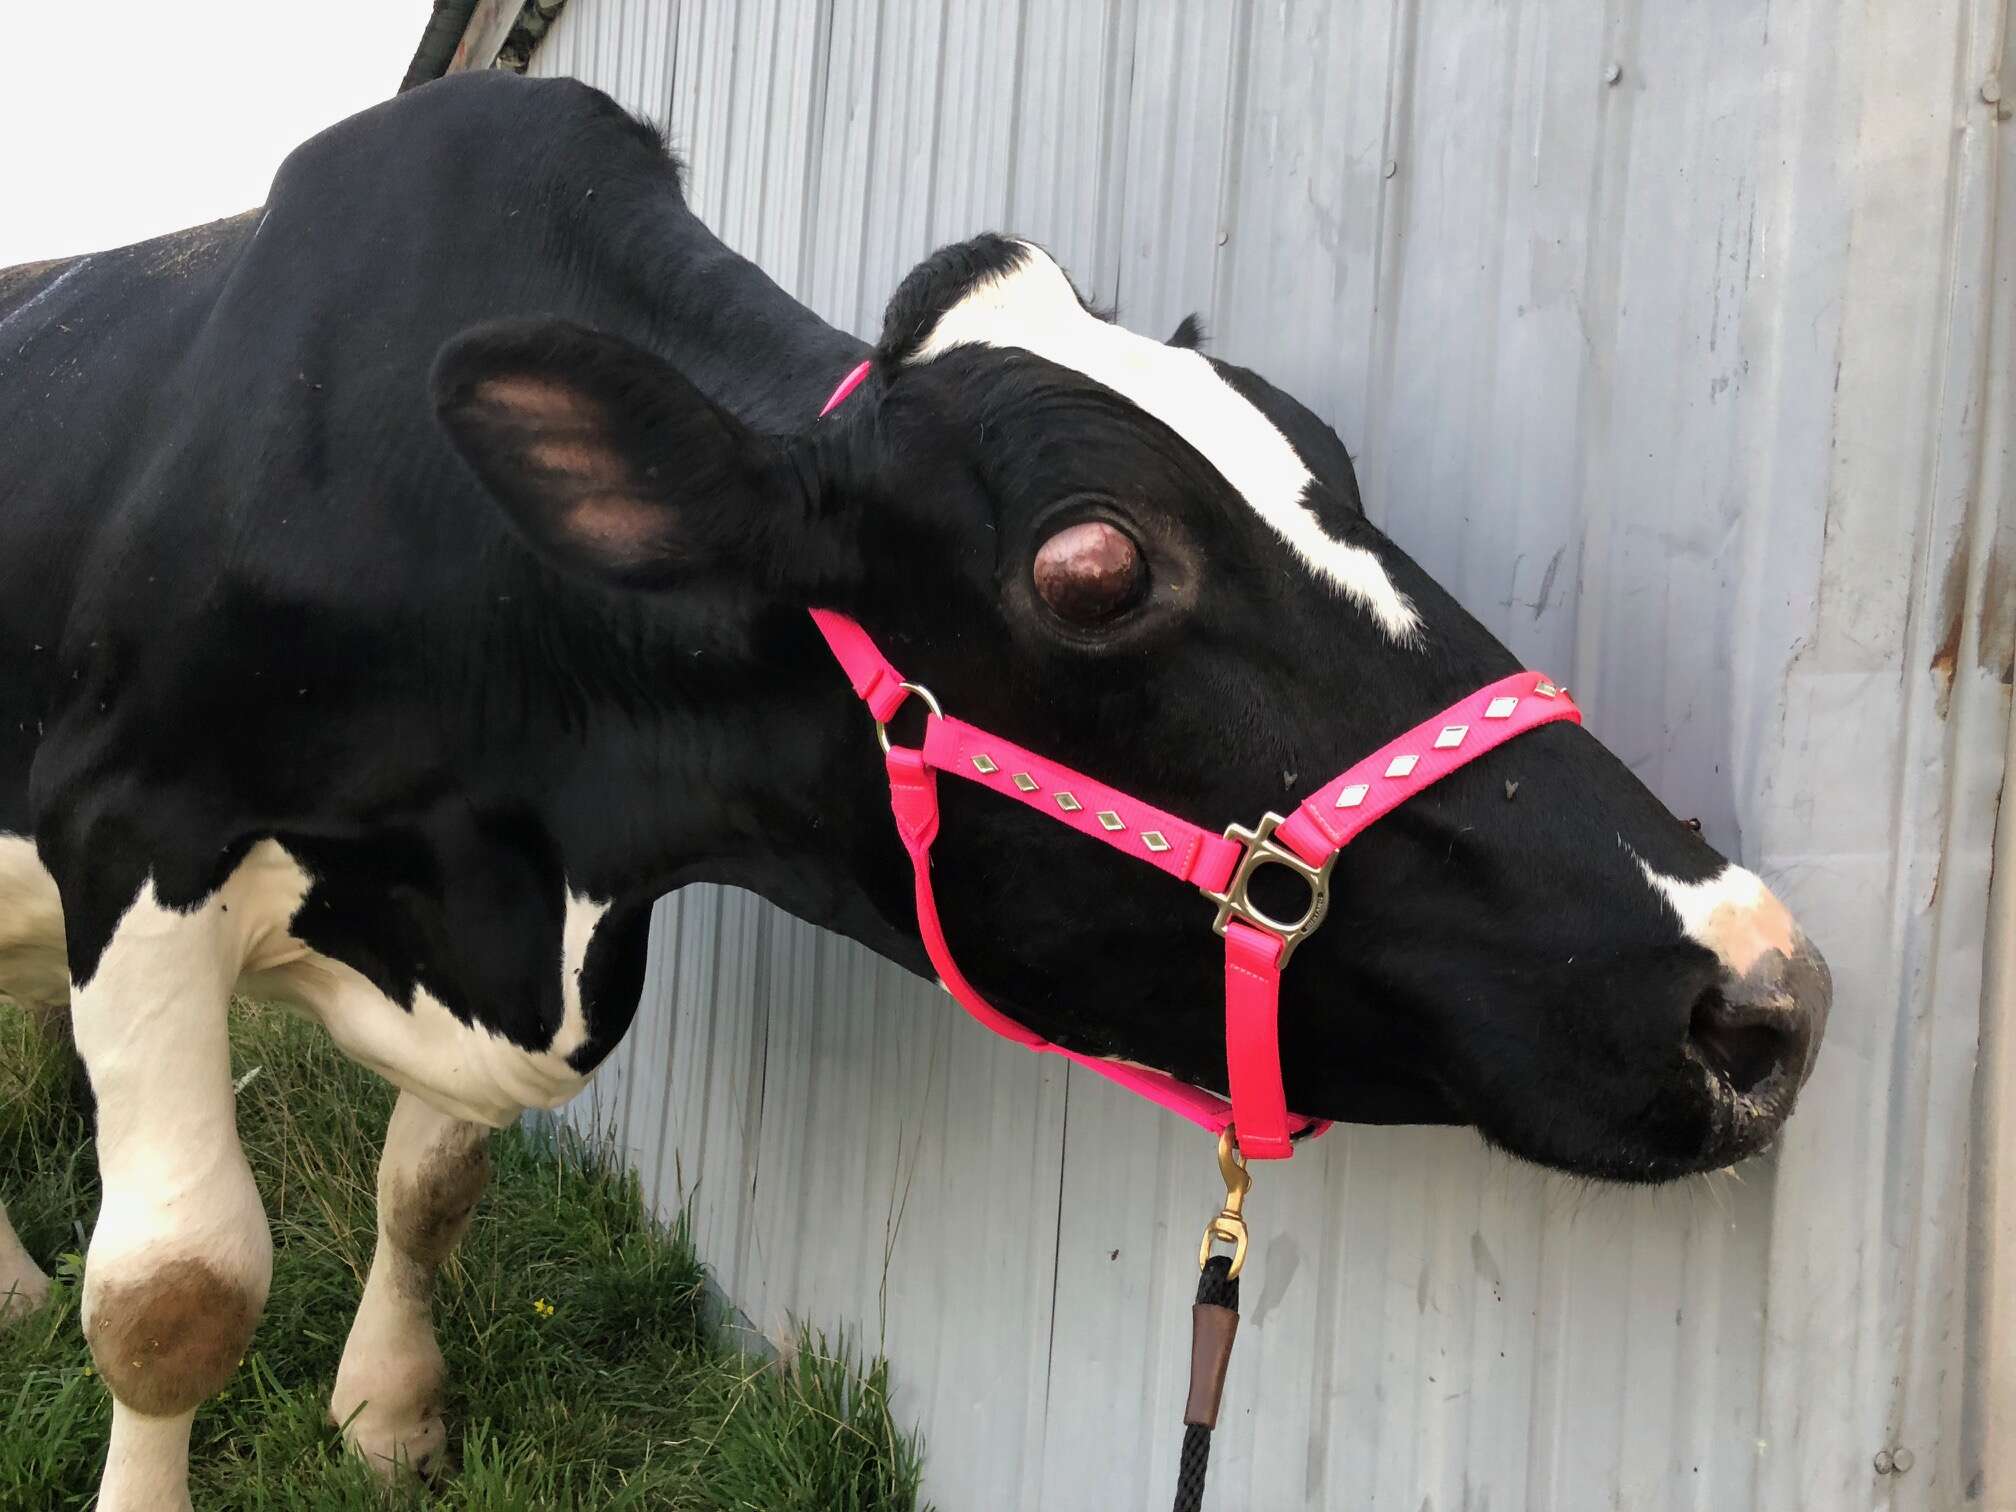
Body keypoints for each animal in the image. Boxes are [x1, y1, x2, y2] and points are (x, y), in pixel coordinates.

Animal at [0, 74, 1830, 1512]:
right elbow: (178, 1290)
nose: (1767, 995)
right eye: (1092, 564)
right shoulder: (132, 836)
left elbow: (429, 1186)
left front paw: (387, 1419)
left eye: (1332, 466)